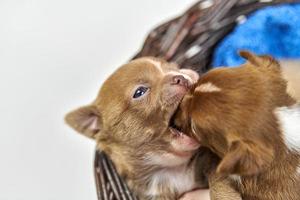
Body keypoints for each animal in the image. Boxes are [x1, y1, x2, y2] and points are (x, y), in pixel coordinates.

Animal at [65, 57, 241, 199]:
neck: (173, 168)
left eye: (175, 69)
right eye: (139, 92)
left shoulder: (212, 159)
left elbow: (219, 179)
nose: (181, 77)